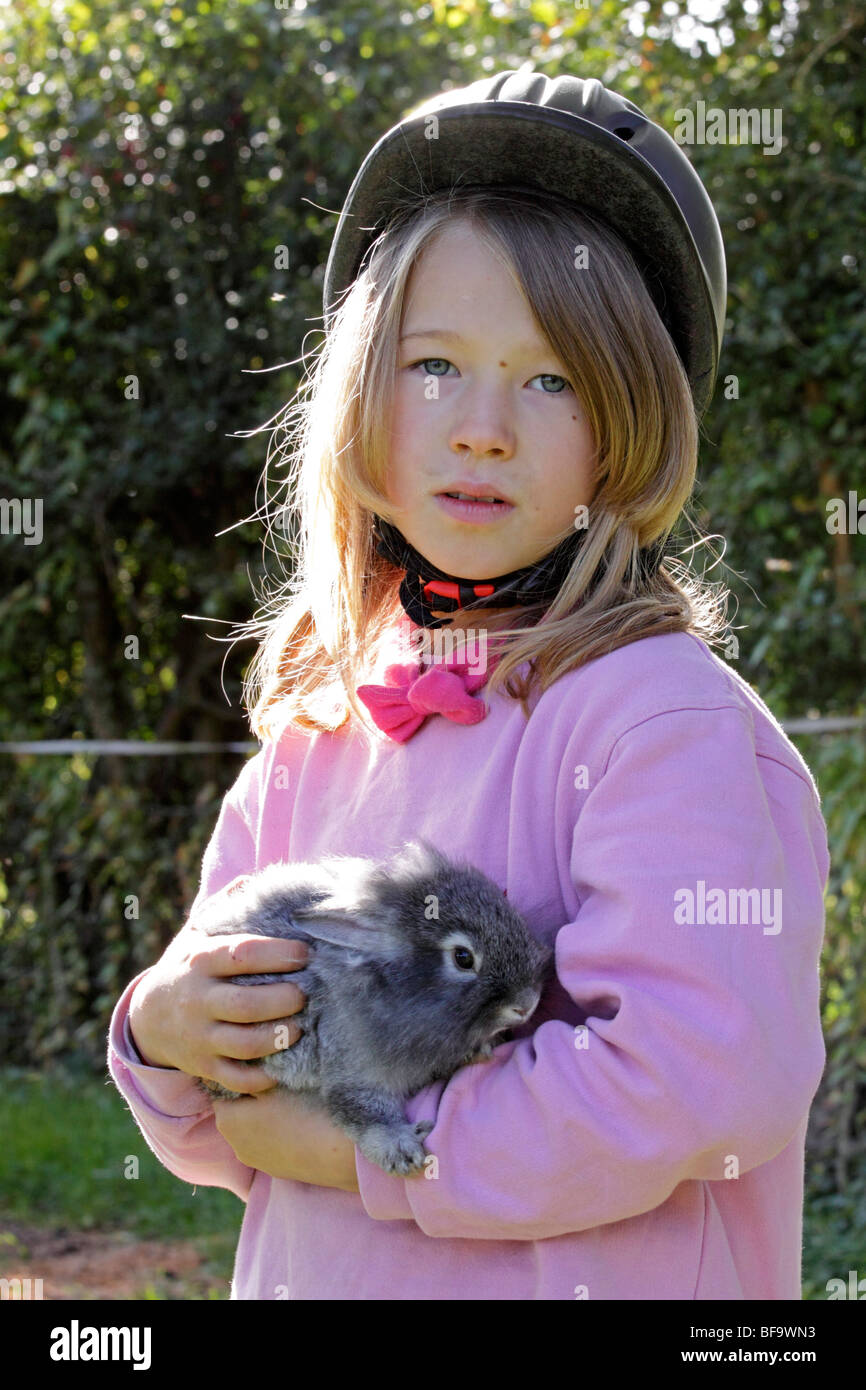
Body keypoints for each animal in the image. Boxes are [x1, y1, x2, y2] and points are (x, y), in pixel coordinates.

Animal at [191, 838, 554, 1176]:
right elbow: (362, 1111)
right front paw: (401, 1149)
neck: (388, 987)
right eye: (463, 958)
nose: (527, 1004)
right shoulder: (350, 1067)